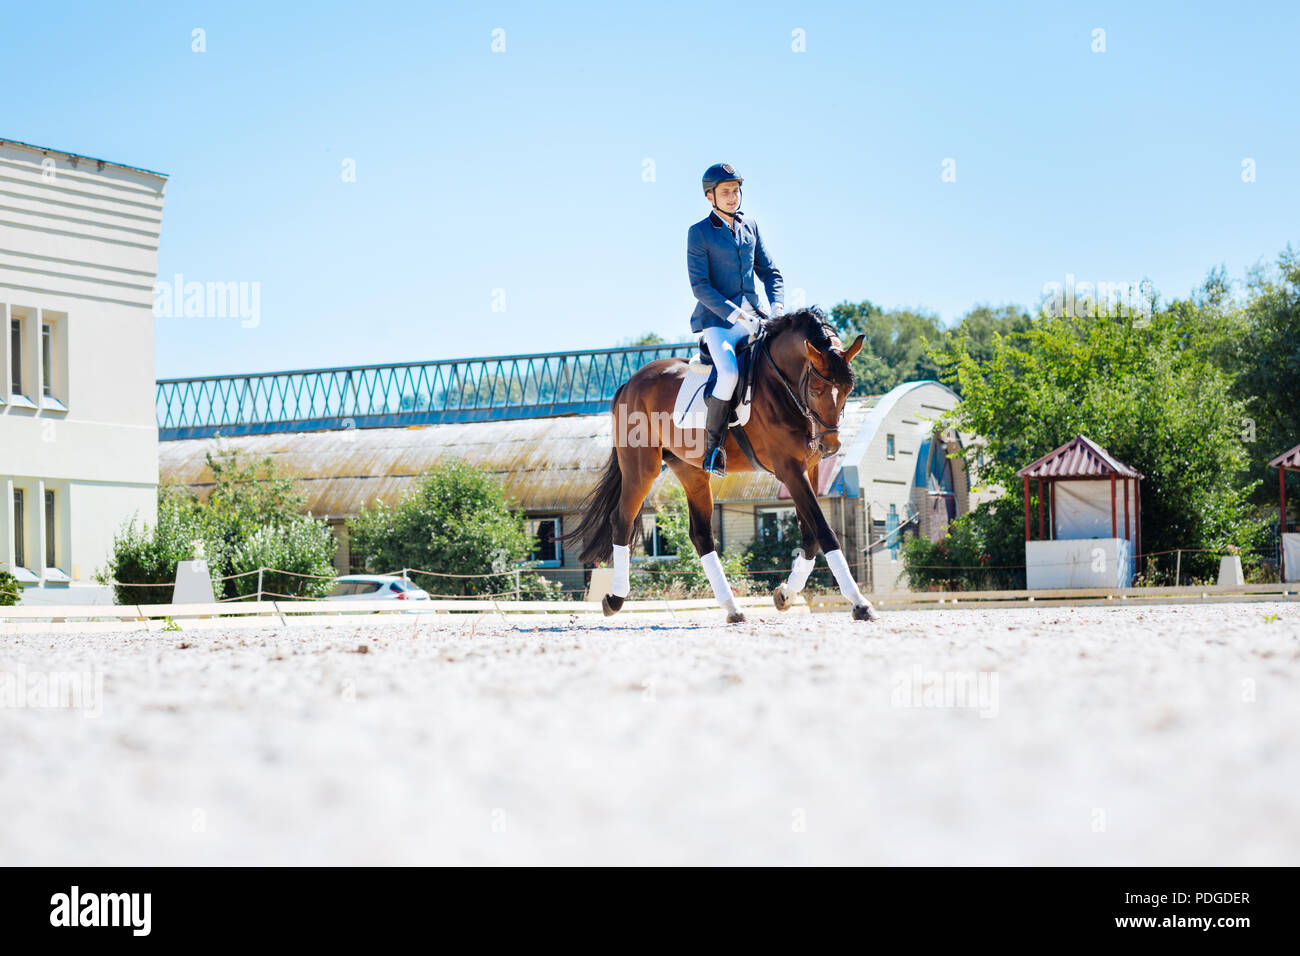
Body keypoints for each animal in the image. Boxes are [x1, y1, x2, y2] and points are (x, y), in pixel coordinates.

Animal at [559, 306, 879, 624]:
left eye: (849, 389)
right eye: (814, 389)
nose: (831, 446)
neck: (781, 385)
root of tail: (630, 382)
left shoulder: (807, 469)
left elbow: (811, 535)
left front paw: (785, 595)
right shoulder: (789, 469)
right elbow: (824, 531)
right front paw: (860, 603)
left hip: (691, 471)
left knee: (701, 534)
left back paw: (732, 607)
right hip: (641, 468)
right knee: (622, 519)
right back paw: (615, 599)